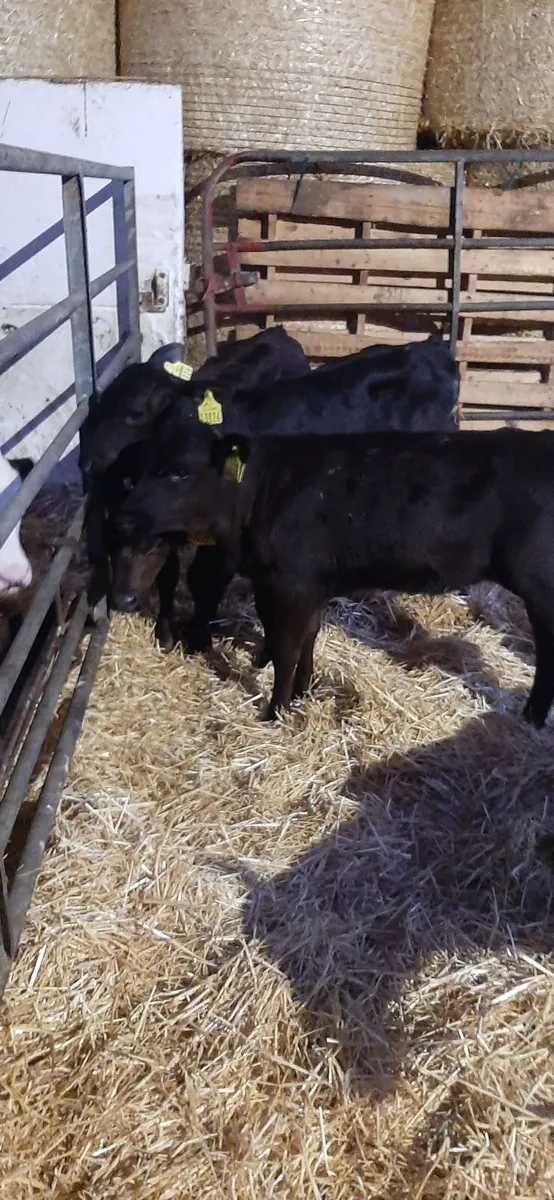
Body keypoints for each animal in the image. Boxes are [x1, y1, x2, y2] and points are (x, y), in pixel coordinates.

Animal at [115, 424, 554, 727]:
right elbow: (308, 637)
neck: (259, 494)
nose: (124, 516)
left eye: (178, 472)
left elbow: (286, 648)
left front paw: (276, 710)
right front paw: (304, 691)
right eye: (141, 470)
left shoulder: (290, 584)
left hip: (540, 586)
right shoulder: (309, 586)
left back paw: (532, 716)